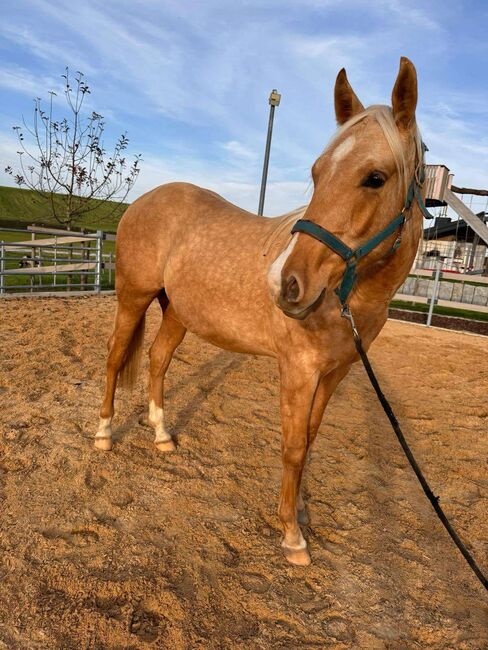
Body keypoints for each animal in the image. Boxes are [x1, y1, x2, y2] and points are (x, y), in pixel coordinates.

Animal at [94, 57, 424, 560]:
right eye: (316, 172)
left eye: (375, 177)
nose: (285, 284)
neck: (348, 299)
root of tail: (143, 201)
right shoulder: (299, 370)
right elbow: (292, 446)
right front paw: (291, 535)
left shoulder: (335, 372)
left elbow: (310, 439)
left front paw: (302, 510)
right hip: (133, 297)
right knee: (115, 358)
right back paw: (104, 434)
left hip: (178, 313)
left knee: (157, 360)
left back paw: (162, 437)